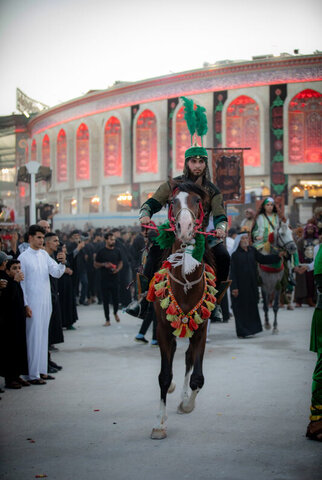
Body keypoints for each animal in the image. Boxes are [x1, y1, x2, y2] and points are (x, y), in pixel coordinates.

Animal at [149, 181, 216, 438]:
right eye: (171, 201)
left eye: (198, 201)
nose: (184, 228)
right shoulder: (162, 329)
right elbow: (164, 376)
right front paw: (159, 424)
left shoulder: (202, 328)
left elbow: (198, 377)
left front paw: (186, 404)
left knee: (188, 358)